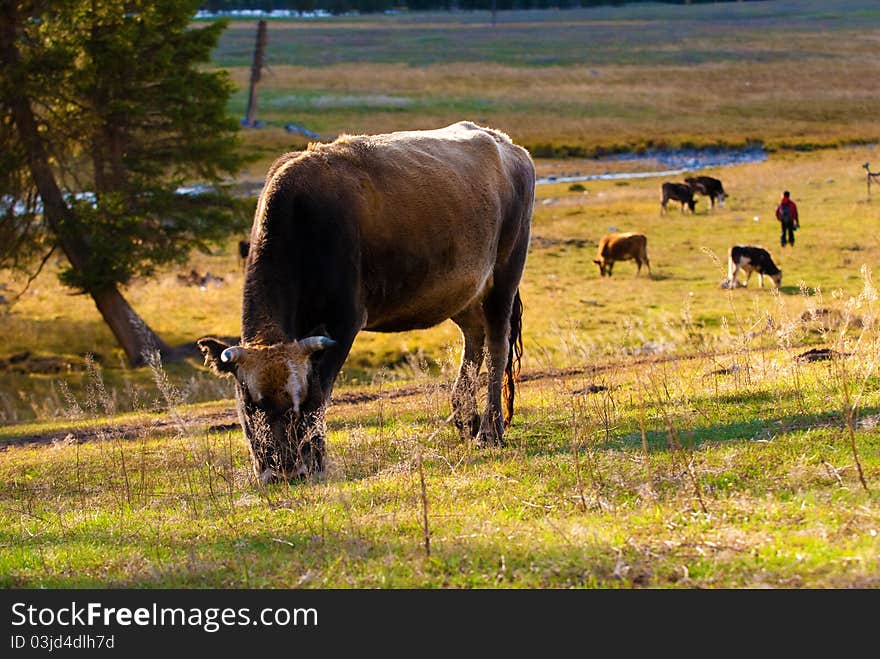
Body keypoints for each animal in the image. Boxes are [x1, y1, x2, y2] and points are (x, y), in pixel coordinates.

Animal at [198, 122, 536, 484]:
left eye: (296, 402)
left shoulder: (343, 321)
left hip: (506, 272)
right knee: (475, 335)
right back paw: (466, 421)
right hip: (464, 290)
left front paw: (316, 461)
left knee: (497, 344)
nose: (283, 471)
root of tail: (505, 143)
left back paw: (491, 430)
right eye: (249, 404)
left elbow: (320, 392)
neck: (301, 221)